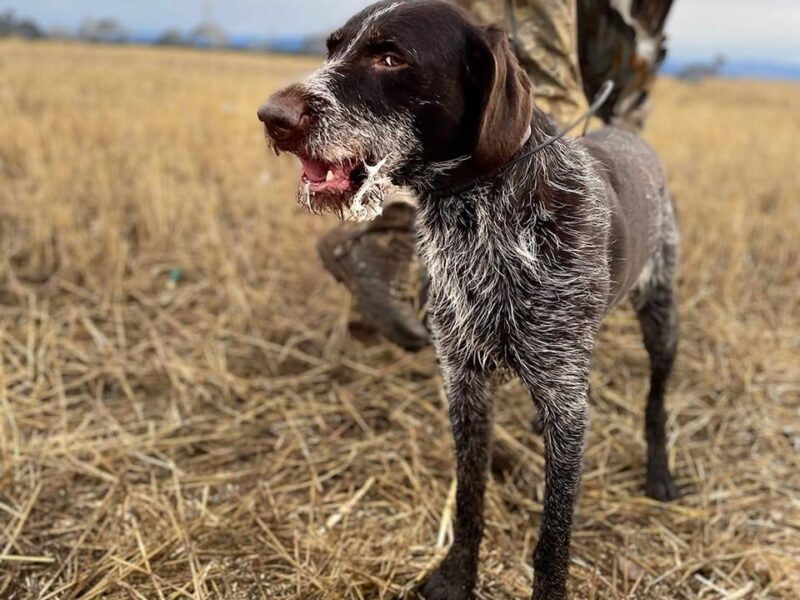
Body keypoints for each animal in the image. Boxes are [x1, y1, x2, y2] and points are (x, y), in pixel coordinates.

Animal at [258, 2, 680, 596]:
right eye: (332, 47)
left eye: (391, 57)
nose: (271, 116)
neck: (477, 213)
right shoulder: (466, 386)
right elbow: (469, 499)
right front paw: (457, 576)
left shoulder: (564, 399)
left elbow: (553, 539)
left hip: (661, 317)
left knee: (656, 401)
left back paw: (659, 472)